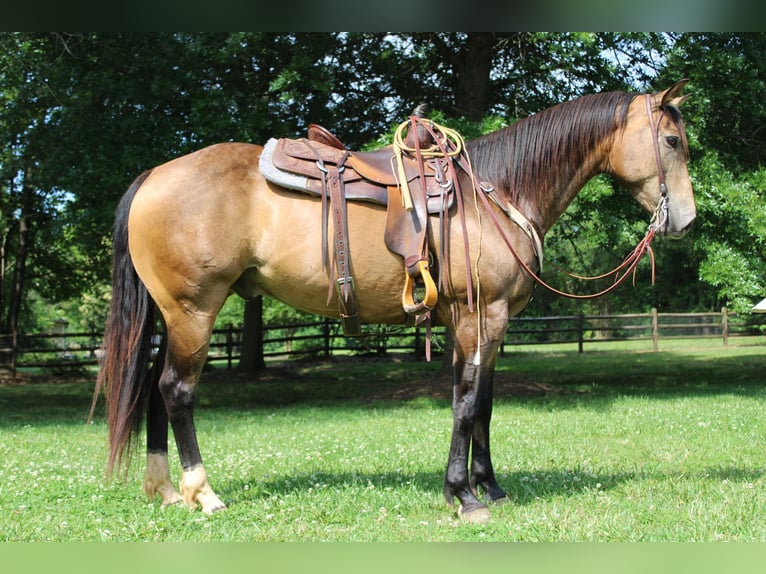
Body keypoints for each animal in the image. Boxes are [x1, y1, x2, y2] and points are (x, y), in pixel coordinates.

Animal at [94, 80, 696, 528]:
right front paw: (465, 497)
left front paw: (489, 487)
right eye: (671, 141)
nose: (686, 221)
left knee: (153, 387)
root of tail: (155, 175)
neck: (497, 191)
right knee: (177, 390)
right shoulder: (483, 316)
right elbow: (468, 404)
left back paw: (166, 490)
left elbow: (481, 404)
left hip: (173, 317)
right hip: (194, 311)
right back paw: (203, 492)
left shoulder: (471, 321)